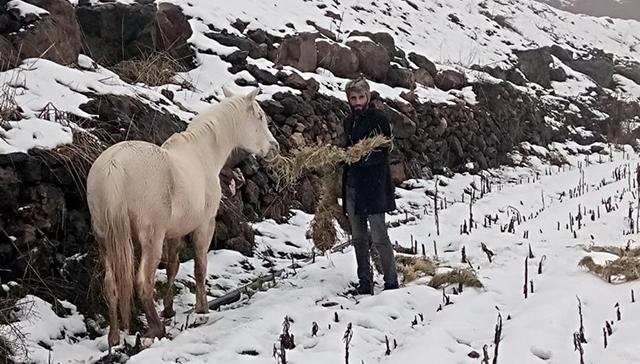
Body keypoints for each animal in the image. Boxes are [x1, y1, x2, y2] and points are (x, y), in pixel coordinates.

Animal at [85, 87, 278, 346]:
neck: (202, 154)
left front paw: (169, 309)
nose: (274, 148)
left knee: (111, 284)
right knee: (142, 282)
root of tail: (114, 166)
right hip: (150, 241)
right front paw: (202, 308)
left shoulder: (173, 234)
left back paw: (115, 336)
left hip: (106, 240)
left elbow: (173, 268)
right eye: (259, 116)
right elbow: (200, 267)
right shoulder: (204, 227)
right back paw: (156, 329)